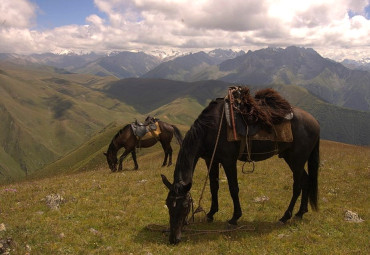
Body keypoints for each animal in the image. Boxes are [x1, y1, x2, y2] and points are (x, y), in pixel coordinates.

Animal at [162, 88, 320, 245]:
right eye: (168, 204)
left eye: (185, 206)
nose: (173, 239)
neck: (210, 129)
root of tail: (315, 122)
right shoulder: (211, 160)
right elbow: (214, 187)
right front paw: (211, 214)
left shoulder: (228, 161)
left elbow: (233, 188)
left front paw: (234, 218)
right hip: (291, 158)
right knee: (306, 181)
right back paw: (300, 213)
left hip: (297, 160)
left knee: (297, 186)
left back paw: (285, 217)